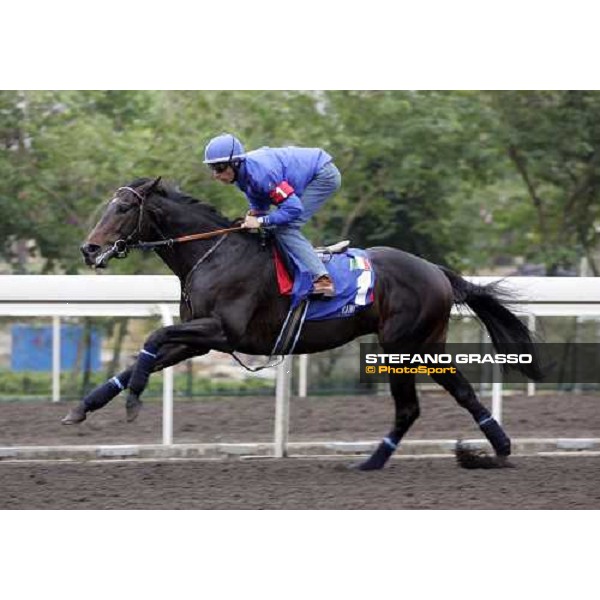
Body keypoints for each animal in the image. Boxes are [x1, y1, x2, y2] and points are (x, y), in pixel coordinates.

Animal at [67, 176, 544, 472]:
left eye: (123, 208)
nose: (88, 248)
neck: (215, 255)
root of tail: (437, 271)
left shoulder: (223, 331)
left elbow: (153, 335)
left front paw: (133, 401)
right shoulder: (199, 341)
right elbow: (141, 356)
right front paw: (84, 406)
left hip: (400, 346)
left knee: (409, 408)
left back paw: (371, 462)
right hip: (425, 345)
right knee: (462, 392)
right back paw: (498, 449)